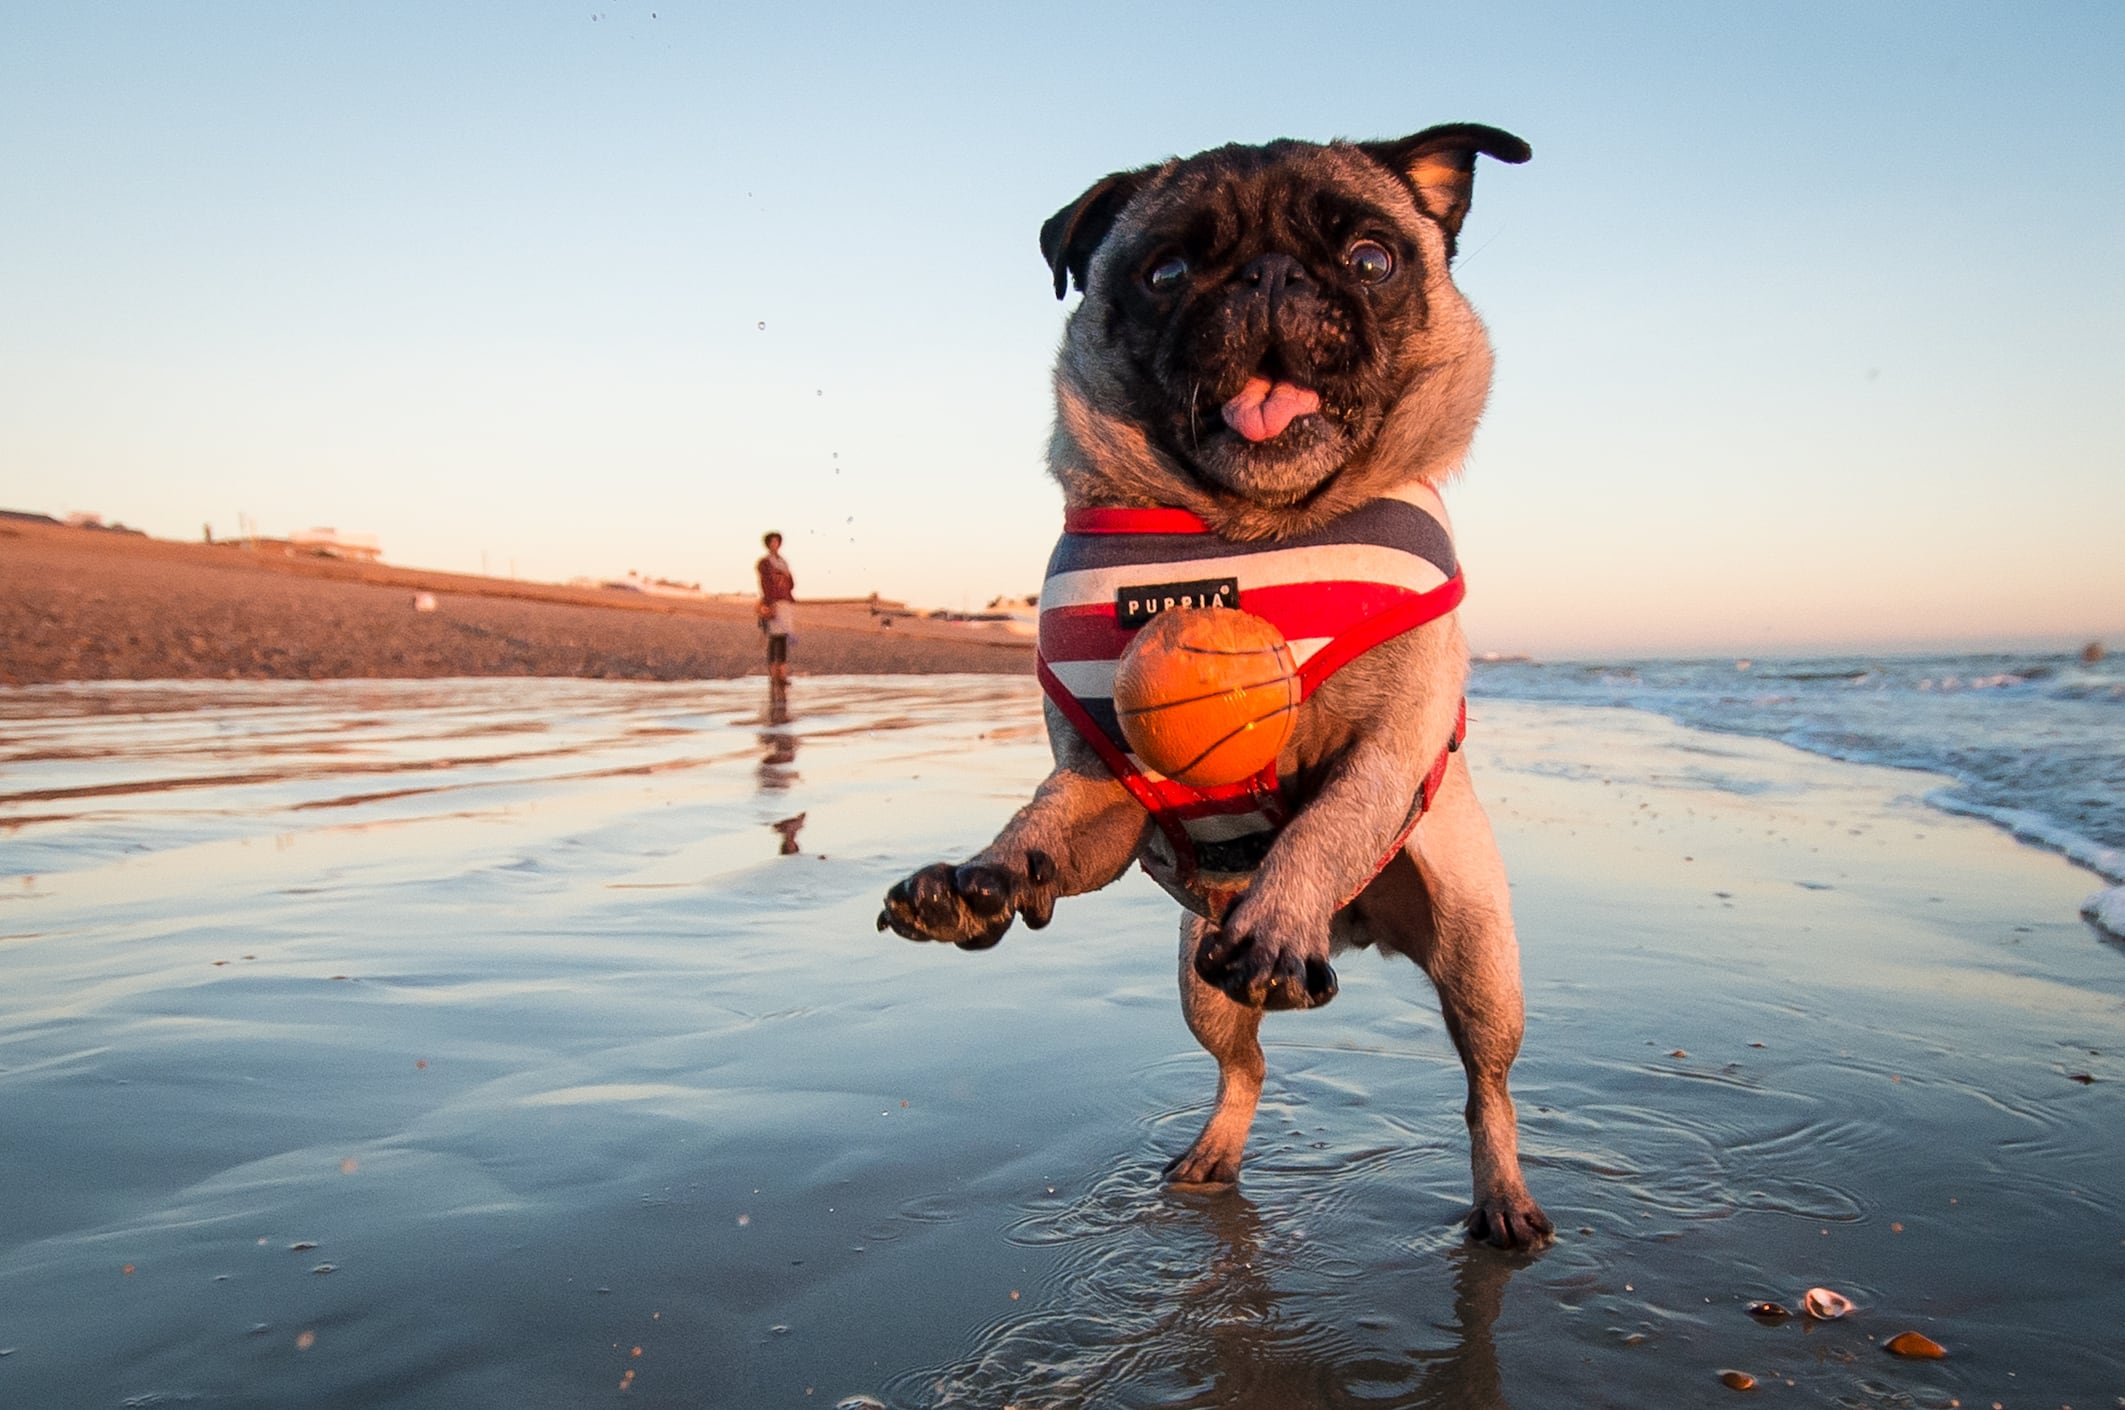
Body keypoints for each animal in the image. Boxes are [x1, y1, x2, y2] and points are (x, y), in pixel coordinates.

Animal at [871, 126, 1555, 1248]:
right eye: (1166, 272)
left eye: (1372, 259)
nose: (1270, 276)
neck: (1250, 531)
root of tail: (1355, 930)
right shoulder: (1101, 796)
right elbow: (1039, 821)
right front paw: (980, 877)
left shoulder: (1389, 750)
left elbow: (1331, 821)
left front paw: (1283, 907)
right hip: (1202, 980)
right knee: (1247, 1069)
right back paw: (1213, 1155)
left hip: (1478, 959)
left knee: (1483, 1088)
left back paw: (1501, 1194)